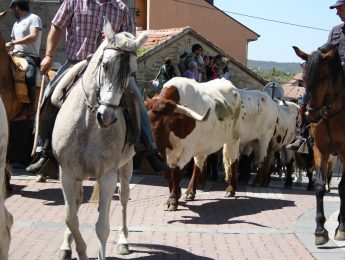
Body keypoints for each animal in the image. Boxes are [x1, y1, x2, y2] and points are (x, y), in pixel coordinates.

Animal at [51, 17, 146, 258]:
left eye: (132, 70)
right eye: (105, 64)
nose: (107, 116)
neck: (87, 124)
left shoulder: (107, 176)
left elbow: (102, 227)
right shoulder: (66, 173)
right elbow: (71, 218)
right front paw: (77, 249)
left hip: (126, 167)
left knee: (123, 199)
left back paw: (123, 241)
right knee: (76, 204)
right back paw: (66, 246)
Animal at [144, 77, 239, 211]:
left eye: (166, 123)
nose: (150, 146)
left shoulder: (187, 150)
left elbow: (177, 173)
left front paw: (172, 200)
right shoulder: (167, 151)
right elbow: (167, 173)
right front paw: (177, 193)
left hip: (234, 138)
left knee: (233, 160)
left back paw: (231, 189)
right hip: (203, 144)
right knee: (198, 164)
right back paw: (190, 192)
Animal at [292, 44, 344, 246]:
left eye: (322, 78)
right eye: (304, 78)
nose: (311, 115)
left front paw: (341, 228)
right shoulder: (320, 149)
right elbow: (320, 185)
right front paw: (320, 230)